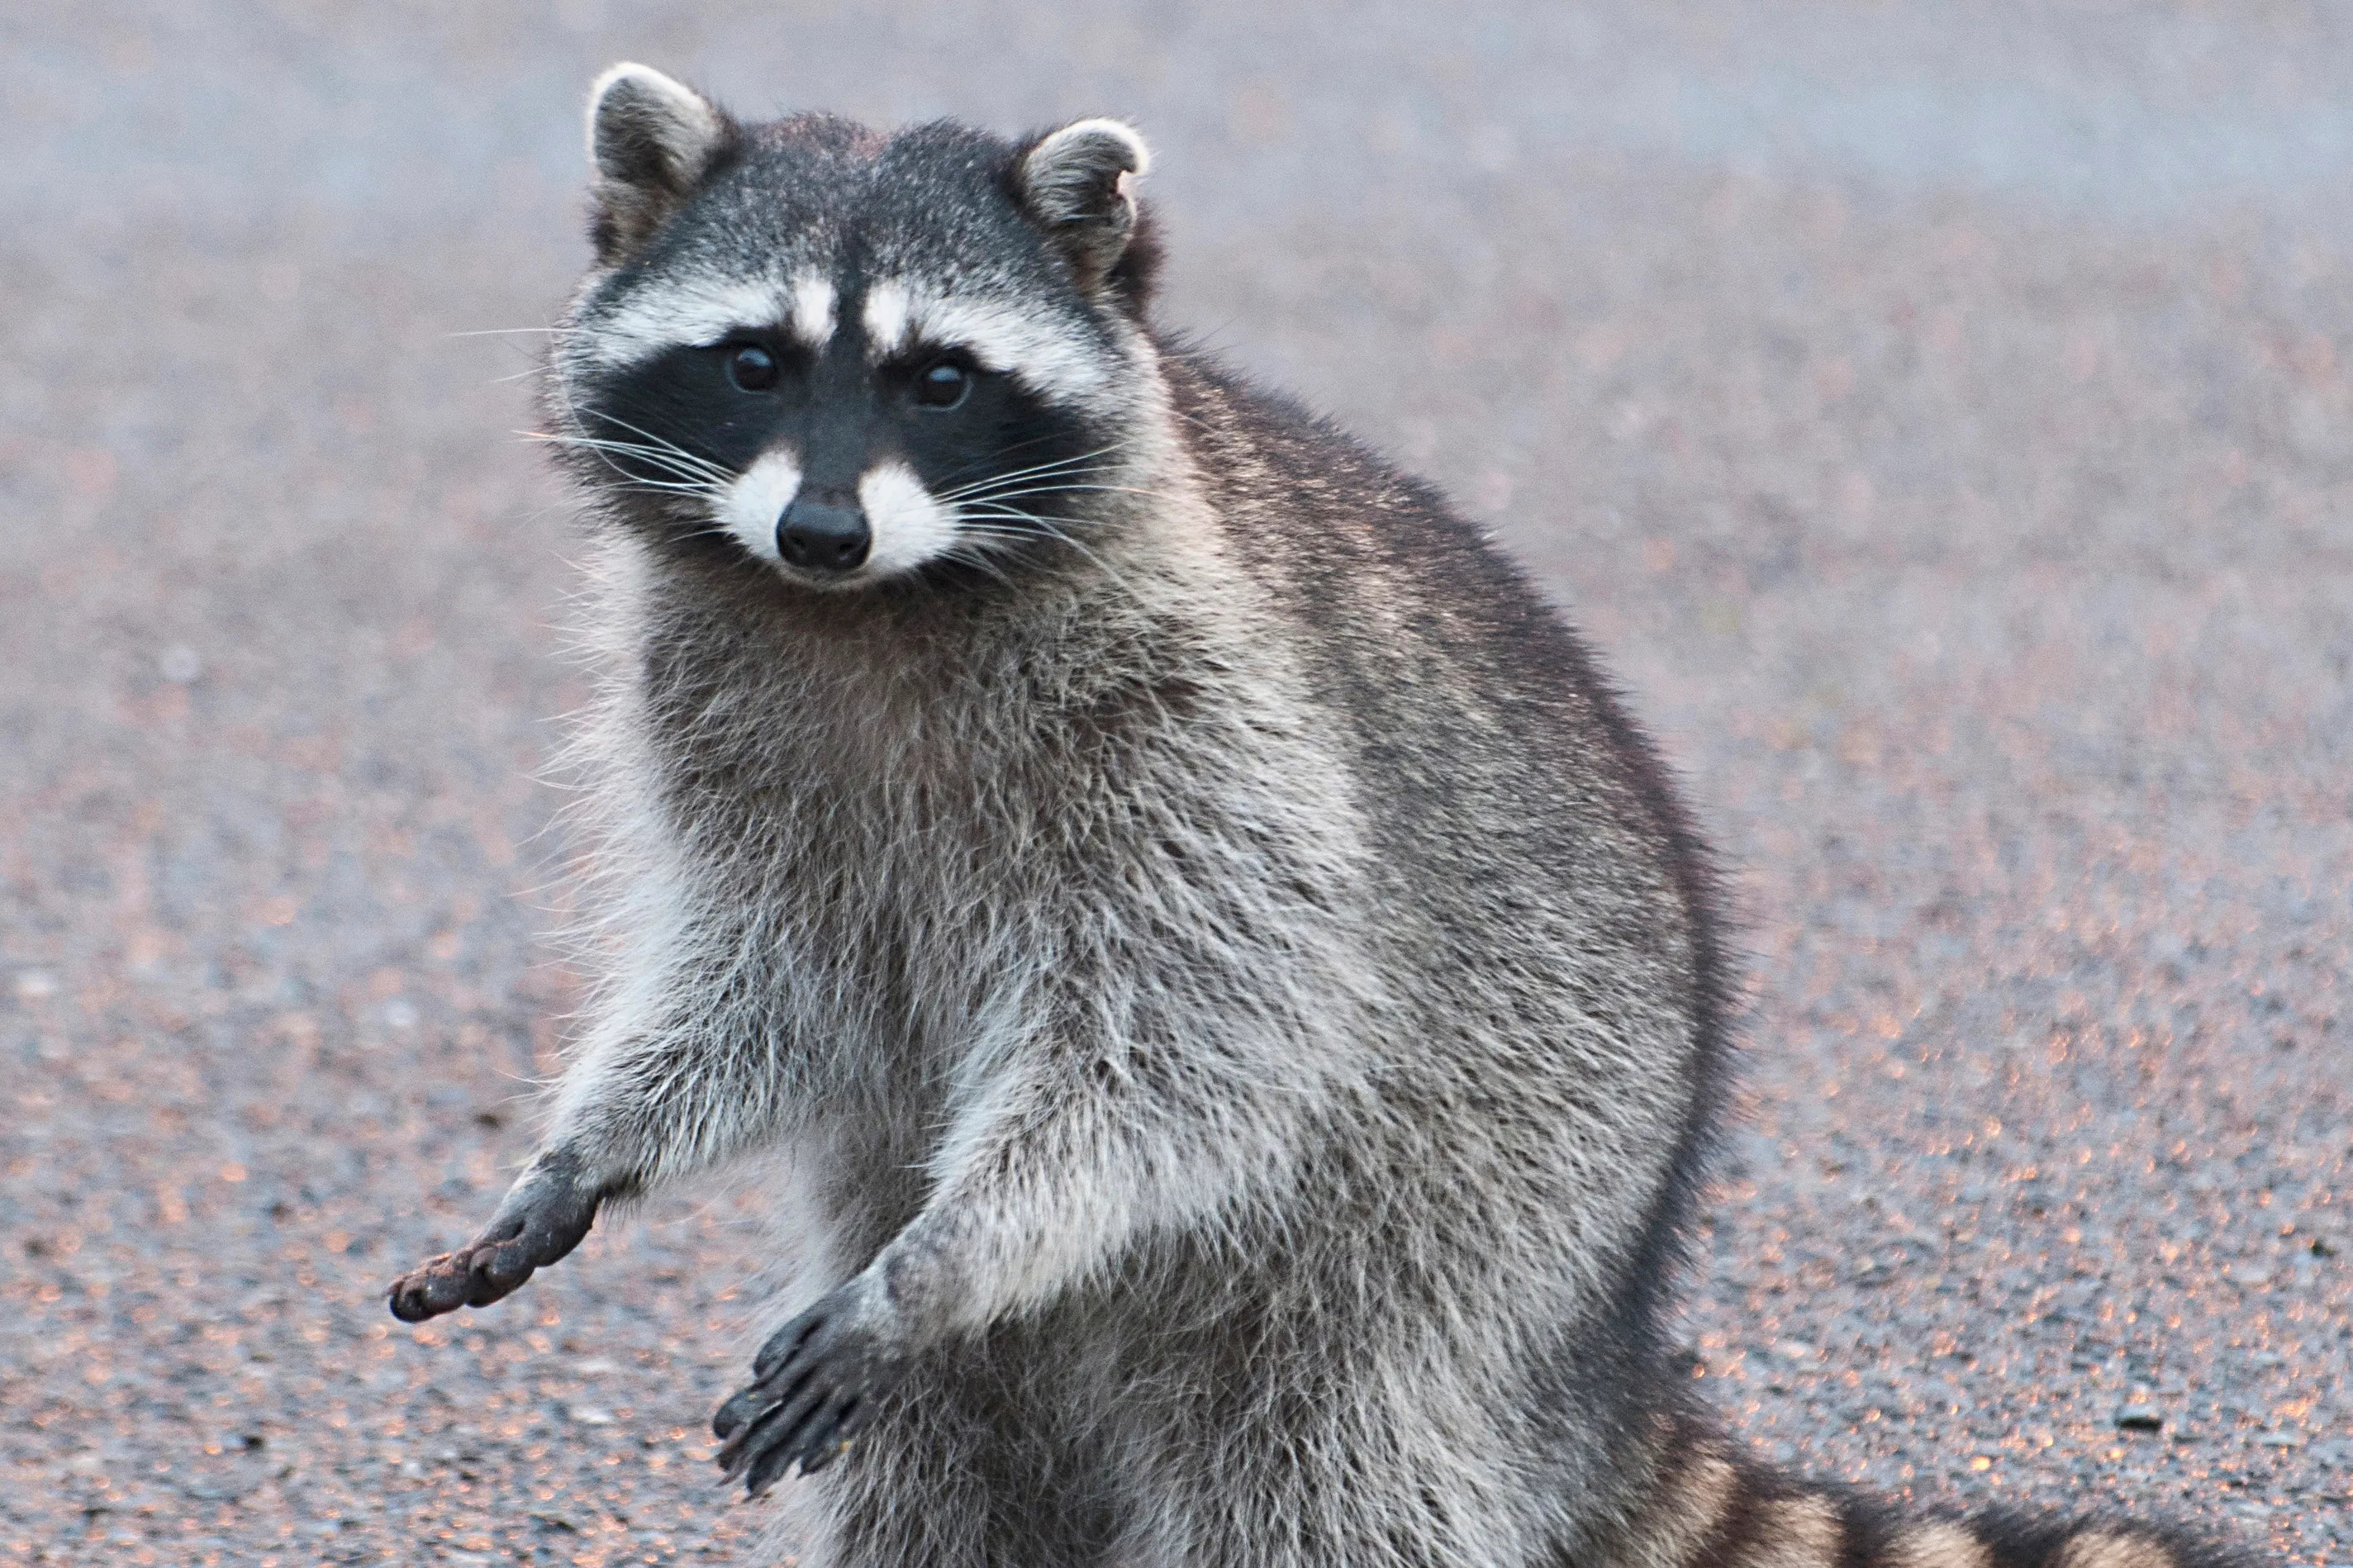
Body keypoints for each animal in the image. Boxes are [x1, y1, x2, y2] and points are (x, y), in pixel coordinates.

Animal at [390, 67, 2259, 1563]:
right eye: (753, 363)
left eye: (938, 381)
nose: (822, 528)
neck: (871, 612)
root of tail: (1595, 1347)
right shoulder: (732, 726)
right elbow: (780, 976)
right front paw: (596, 1141)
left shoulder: (1206, 728)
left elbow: (1187, 1029)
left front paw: (950, 1255)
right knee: (941, 1472)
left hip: (1438, 1243)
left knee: (1314, 1475)